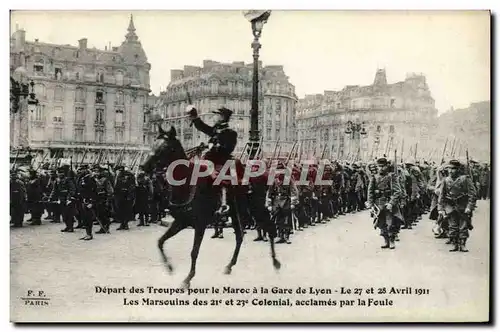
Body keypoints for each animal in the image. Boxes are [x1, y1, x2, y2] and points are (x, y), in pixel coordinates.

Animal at [142, 126, 282, 288]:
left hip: (257, 209)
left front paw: (188, 278)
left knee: (270, 228)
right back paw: (230, 265)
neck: (188, 183)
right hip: (237, 214)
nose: (144, 166)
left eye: (165, 147)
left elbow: (194, 251)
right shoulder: (181, 222)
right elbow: (160, 241)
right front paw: (169, 267)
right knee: (240, 236)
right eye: (154, 143)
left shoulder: (200, 224)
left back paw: (275, 262)